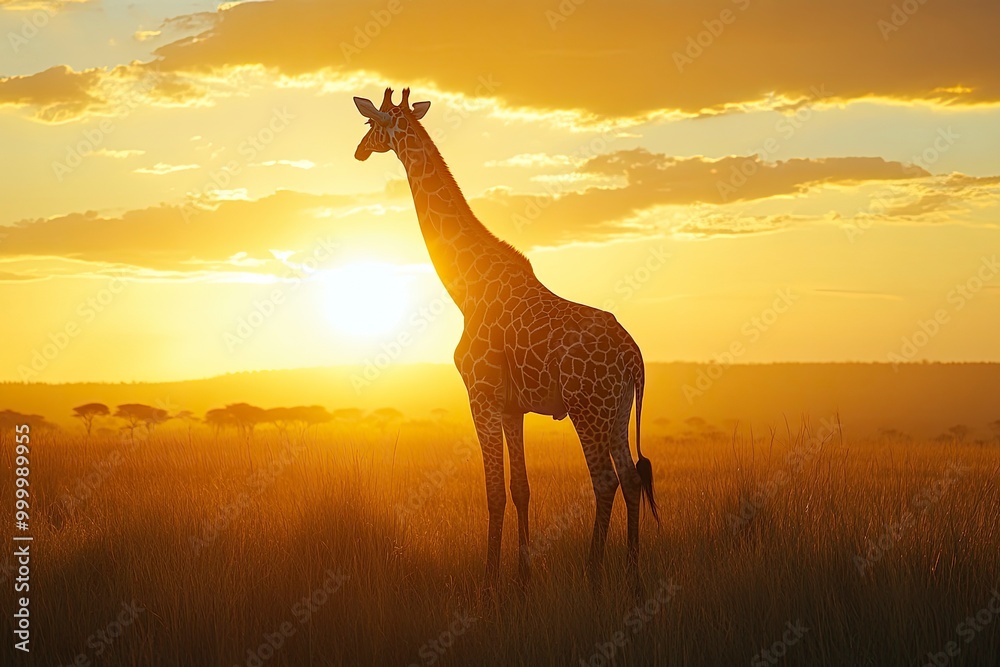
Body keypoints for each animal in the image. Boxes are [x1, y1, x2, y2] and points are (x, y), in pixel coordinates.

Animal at [353, 88, 658, 594]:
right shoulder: (513, 406)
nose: (358, 151)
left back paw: (594, 574)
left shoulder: (480, 395)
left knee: (605, 481)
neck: (465, 287)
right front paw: (522, 575)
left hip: (588, 407)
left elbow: (494, 490)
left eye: (373, 124)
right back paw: (633, 574)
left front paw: (490, 577)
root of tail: (635, 357)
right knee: (632, 479)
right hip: (615, 410)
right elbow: (521, 488)